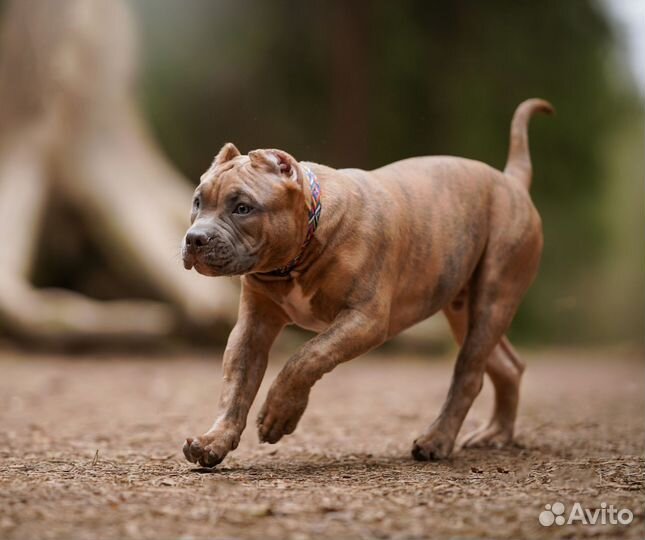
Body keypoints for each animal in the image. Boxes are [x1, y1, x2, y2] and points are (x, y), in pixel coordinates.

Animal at [181, 98, 552, 468]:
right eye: (198, 202)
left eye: (243, 208)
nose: (195, 238)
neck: (298, 255)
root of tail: (510, 181)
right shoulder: (253, 326)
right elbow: (235, 387)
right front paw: (215, 440)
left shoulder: (365, 319)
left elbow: (306, 357)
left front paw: (279, 414)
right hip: (463, 310)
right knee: (507, 365)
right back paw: (497, 433)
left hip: (494, 297)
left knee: (469, 374)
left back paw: (437, 440)